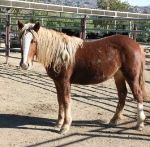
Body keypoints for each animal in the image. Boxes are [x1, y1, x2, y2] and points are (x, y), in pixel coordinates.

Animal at [17, 20, 149, 134]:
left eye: (33, 41)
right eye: (20, 39)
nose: (24, 64)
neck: (60, 53)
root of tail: (137, 45)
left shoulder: (65, 81)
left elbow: (66, 101)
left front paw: (65, 126)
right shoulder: (57, 81)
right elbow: (60, 100)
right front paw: (58, 123)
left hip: (131, 76)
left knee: (137, 95)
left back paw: (140, 124)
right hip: (119, 76)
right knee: (122, 94)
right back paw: (114, 120)